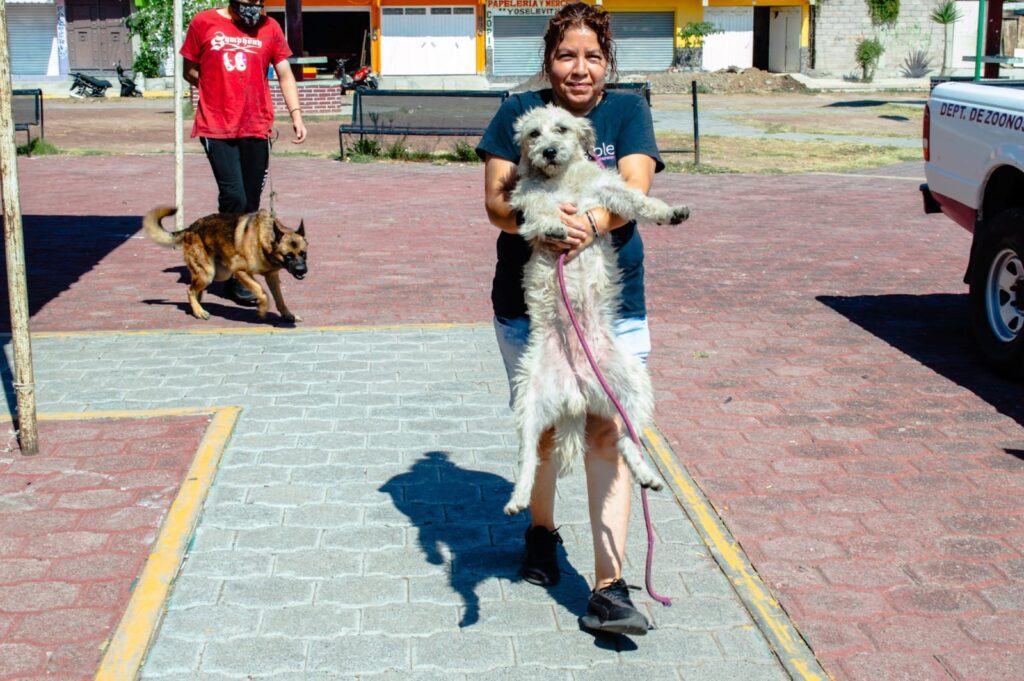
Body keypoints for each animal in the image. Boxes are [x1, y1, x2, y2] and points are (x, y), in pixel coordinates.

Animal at [143, 205, 307, 323]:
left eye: (303, 254)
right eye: (288, 256)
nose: (302, 270)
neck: (265, 240)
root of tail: (191, 228)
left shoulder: (272, 276)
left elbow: (280, 299)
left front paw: (287, 315)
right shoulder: (240, 271)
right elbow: (261, 291)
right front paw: (262, 309)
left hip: (217, 274)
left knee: (195, 290)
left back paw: (197, 308)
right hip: (208, 273)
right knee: (189, 290)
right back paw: (199, 311)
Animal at [501, 103, 688, 512]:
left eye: (561, 128)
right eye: (533, 133)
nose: (548, 151)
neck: (561, 180)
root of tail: (577, 389)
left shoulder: (608, 191)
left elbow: (638, 201)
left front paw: (670, 212)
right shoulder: (529, 204)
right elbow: (539, 218)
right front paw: (554, 228)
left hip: (632, 385)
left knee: (627, 441)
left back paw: (647, 475)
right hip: (528, 400)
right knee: (528, 457)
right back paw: (518, 497)